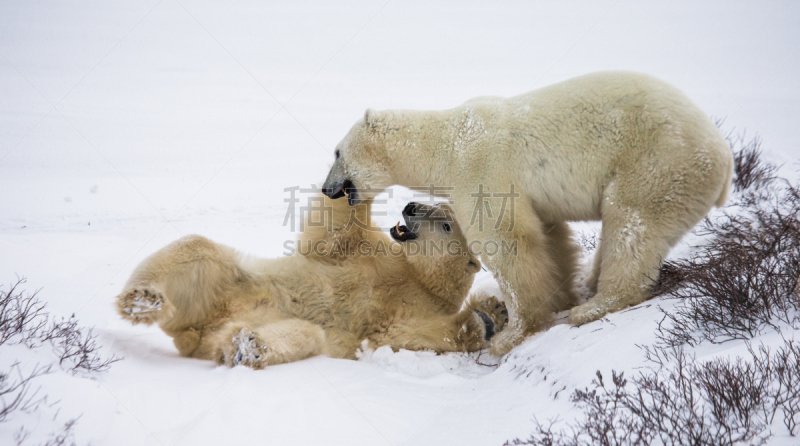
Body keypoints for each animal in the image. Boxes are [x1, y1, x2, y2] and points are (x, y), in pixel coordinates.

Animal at [115, 193, 506, 370]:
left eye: (446, 224)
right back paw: (142, 298)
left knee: (304, 334)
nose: (410, 206)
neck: (417, 276)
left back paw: (246, 346)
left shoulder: (417, 307)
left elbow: (402, 335)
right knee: (195, 248)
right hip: (226, 282)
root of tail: (198, 329)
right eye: (432, 201)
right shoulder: (374, 255)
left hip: (236, 318)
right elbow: (335, 231)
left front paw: (491, 316)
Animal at [322, 70, 736, 356]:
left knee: (631, 224)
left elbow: (506, 244)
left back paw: (595, 306)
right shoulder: (530, 196)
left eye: (337, 152)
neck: (446, 144)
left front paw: (511, 335)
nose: (327, 189)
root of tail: (725, 158)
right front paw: (561, 296)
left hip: (657, 163)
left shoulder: (482, 169)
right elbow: (550, 237)